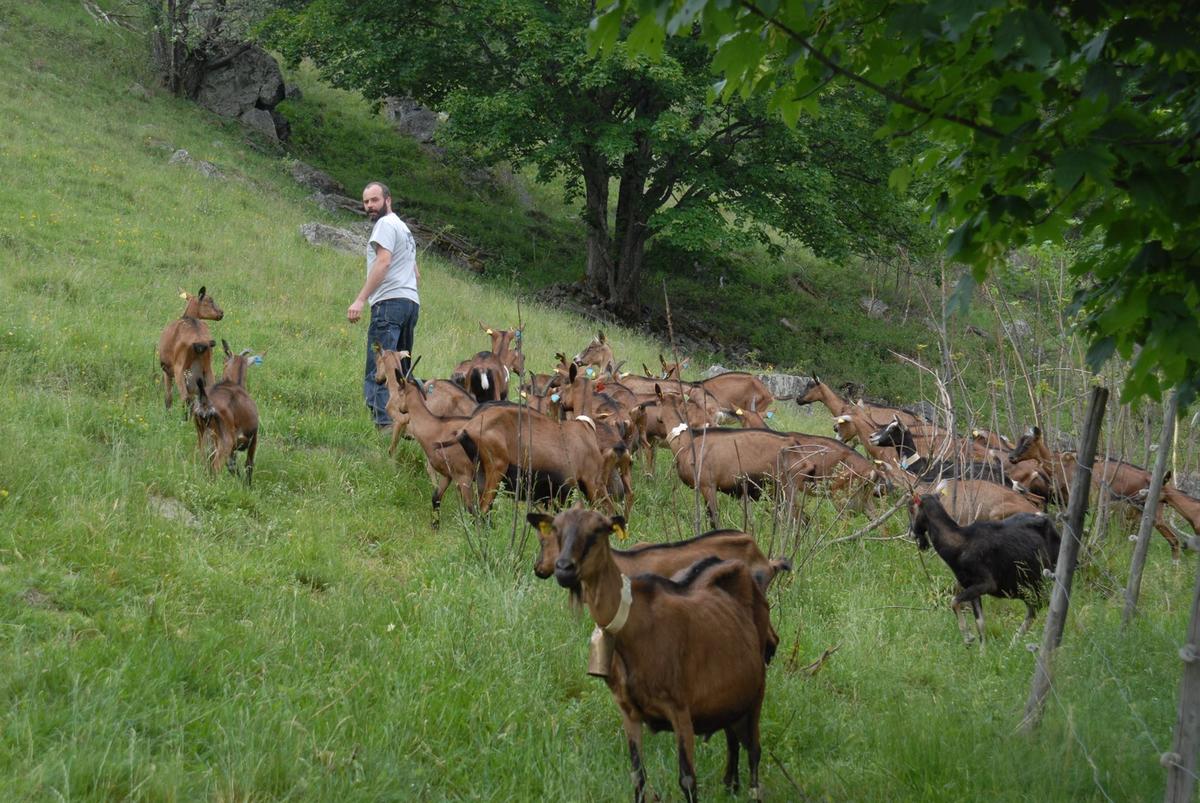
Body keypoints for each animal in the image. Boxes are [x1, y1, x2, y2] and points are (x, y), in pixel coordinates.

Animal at [192, 338, 260, 482]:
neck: (234, 383)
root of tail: (205, 402)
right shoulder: (254, 437)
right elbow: (249, 465)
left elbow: (233, 467)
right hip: (225, 442)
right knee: (216, 467)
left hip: (203, 437)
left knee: (205, 464)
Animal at [535, 506, 768, 801]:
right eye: (556, 528)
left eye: (598, 530)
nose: (564, 569)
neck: (633, 625)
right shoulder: (628, 711)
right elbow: (638, 777)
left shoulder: (680, 709)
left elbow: (687, 779)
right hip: (732, 698)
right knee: (733, 738)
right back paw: (730, 785)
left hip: (757, 692)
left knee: (754, 752)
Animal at [907, 492, 1060, 648]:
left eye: (911, 509)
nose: (911, 533)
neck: (960, 545)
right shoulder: (970, 586)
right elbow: (980, 623)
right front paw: (981, 650)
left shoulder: (987, 583)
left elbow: (954, 601)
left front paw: (968, 638)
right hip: (1025, 586)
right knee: (1035, 607)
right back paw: (1013, 645)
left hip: (1041, 580)